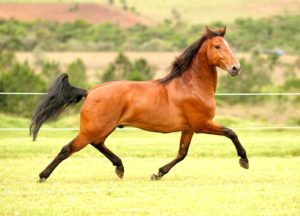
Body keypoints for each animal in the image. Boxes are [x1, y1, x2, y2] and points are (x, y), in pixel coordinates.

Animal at [29, 27, 248, 182]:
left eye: (228, 45)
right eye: (218, 46)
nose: (236, 68)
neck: (191, 86)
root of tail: (90, 92)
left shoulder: (189, 128)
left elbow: (182, 153)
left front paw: (158, 173)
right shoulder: (202, 124)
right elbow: (231, 133)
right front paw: (244, 161)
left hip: (104, 128)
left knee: (97, 143)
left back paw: (119, 167)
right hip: (93, 129)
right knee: (67, 149)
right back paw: (42, 175)